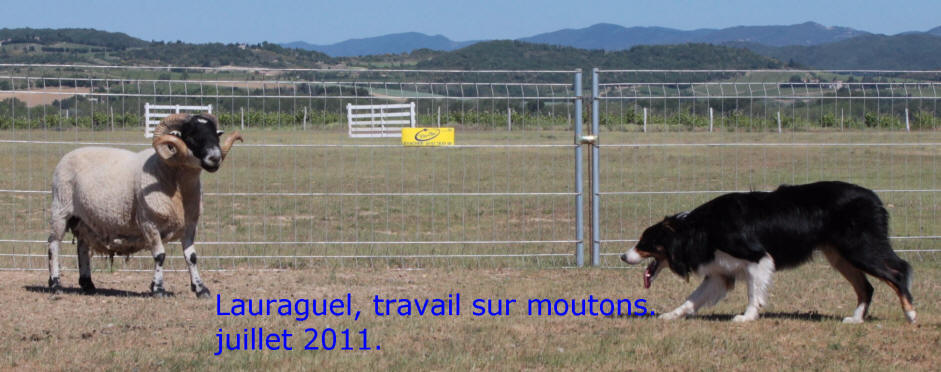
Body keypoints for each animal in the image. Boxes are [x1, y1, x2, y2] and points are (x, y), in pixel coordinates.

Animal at [46, 112, 242, 298]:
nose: (215, 158)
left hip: (85, 219)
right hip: (61, 210)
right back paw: (56, 285)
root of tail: (69, 154)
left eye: (215, 136)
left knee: (82, 247)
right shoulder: (149, 223)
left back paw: (87, 284)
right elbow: (160, 255)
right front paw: (158, 289)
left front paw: (201, 289)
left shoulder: (189, 225)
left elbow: (192, 257)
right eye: (191, 137)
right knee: (54, 245)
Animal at [620, 180, 916, 322]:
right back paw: (856, 319)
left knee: (898, 271)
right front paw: (672, 315)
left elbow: (754, 293)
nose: (623, 256)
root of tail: (875, 198)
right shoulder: (719, 274)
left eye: (644, 243)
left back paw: (910, 314)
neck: (700, 229)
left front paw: (747, 317)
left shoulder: (757, 259)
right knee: (867, 287)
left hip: (860, 248)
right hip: (840, 256)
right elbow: (692, 299)